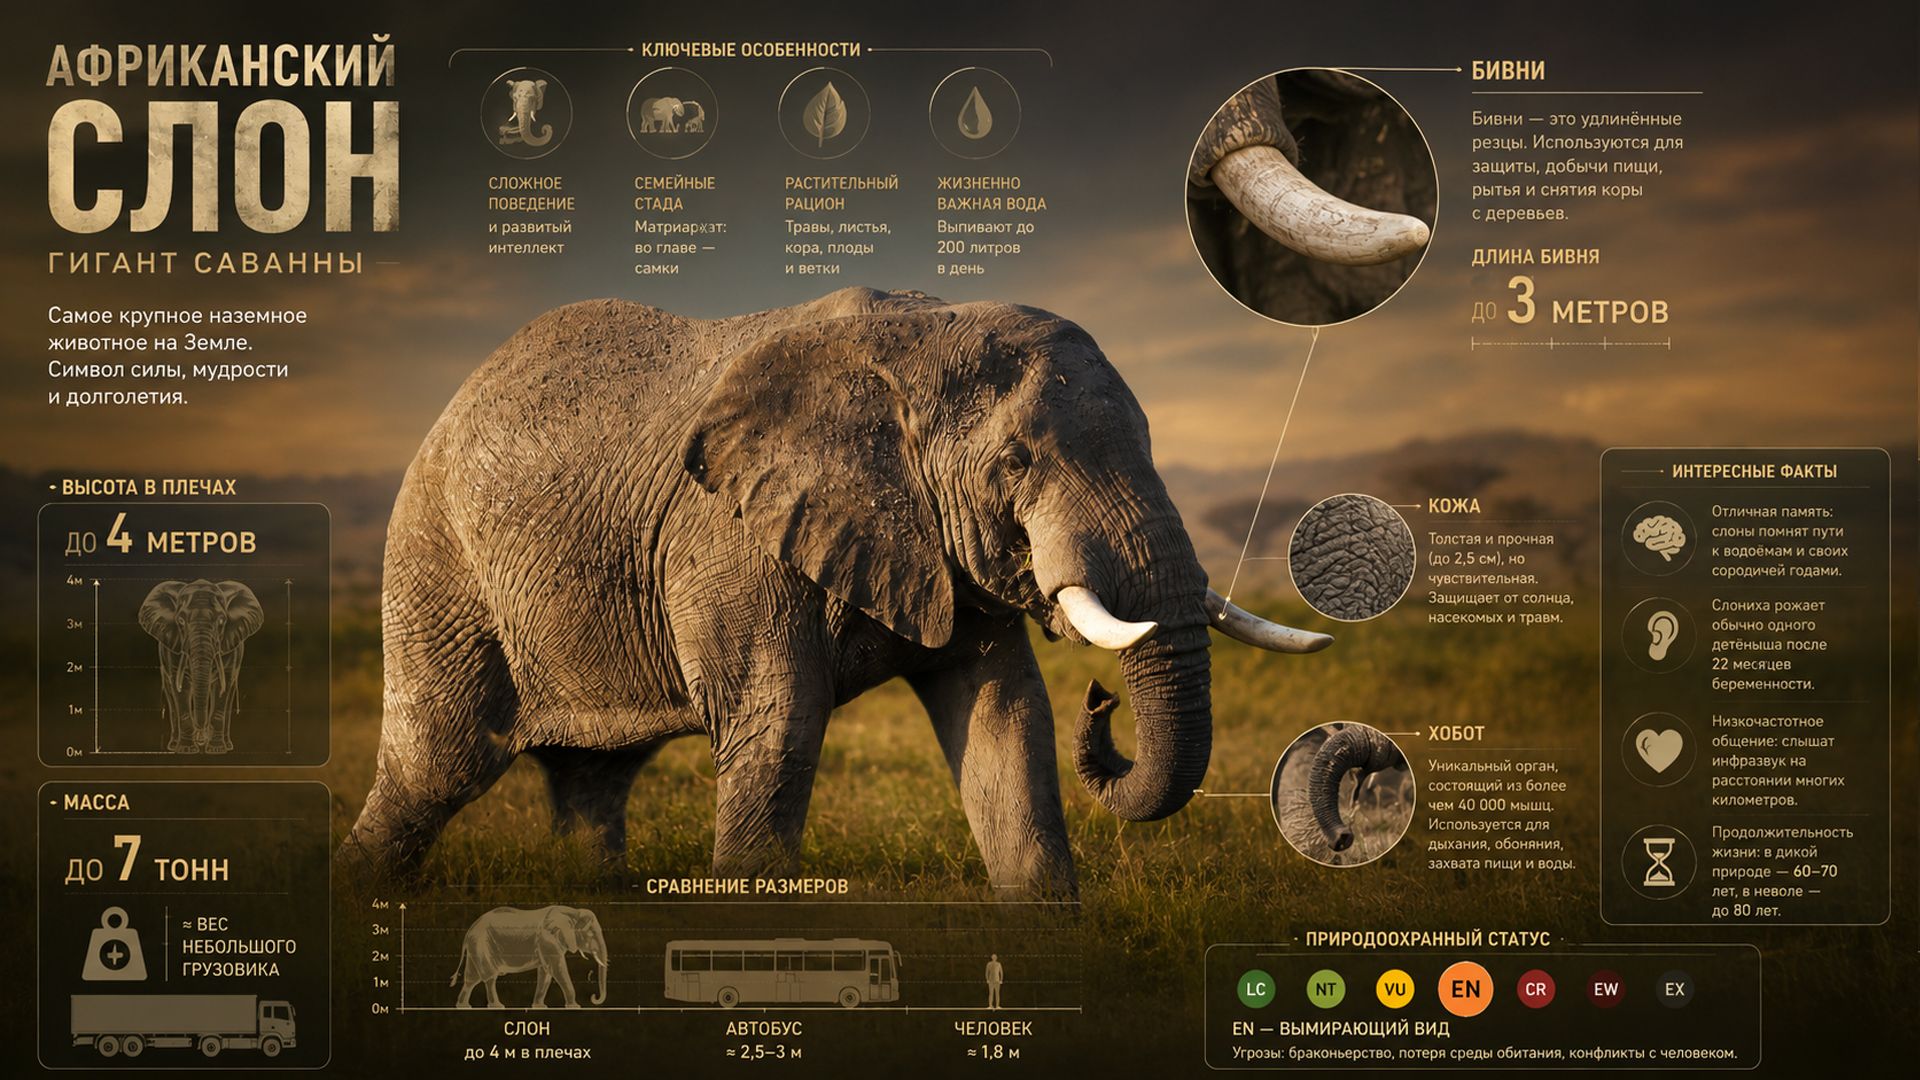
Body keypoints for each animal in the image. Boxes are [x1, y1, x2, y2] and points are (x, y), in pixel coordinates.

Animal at [138, 580, 264, 753]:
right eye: (181, 621)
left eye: (221, 621)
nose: (201, 736)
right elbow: (181, 687)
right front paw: (186, 749)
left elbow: (222, 688)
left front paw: (217, 750)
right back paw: (173, 746)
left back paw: (227, 745)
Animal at [337, 287, 1332, 895]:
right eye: (1015, 462)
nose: (1102, 700)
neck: (919, 343)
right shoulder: (732, 537)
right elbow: (778, 728)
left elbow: (1007, 720)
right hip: (436, 566)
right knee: (437, 766)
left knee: (591, 783)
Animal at [450, 905, 608, 1009]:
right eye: (591, 934)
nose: (594, 997)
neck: (573, 912)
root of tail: (469, 931)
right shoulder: (547, 939)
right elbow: (557, 969)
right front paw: (575, 1007)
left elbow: (546, 973)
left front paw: (539, 1007)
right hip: (482, 943)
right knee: (489, 976)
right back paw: (497, 1006)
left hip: (476, 946)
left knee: (471, 978)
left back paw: (463, 1006)